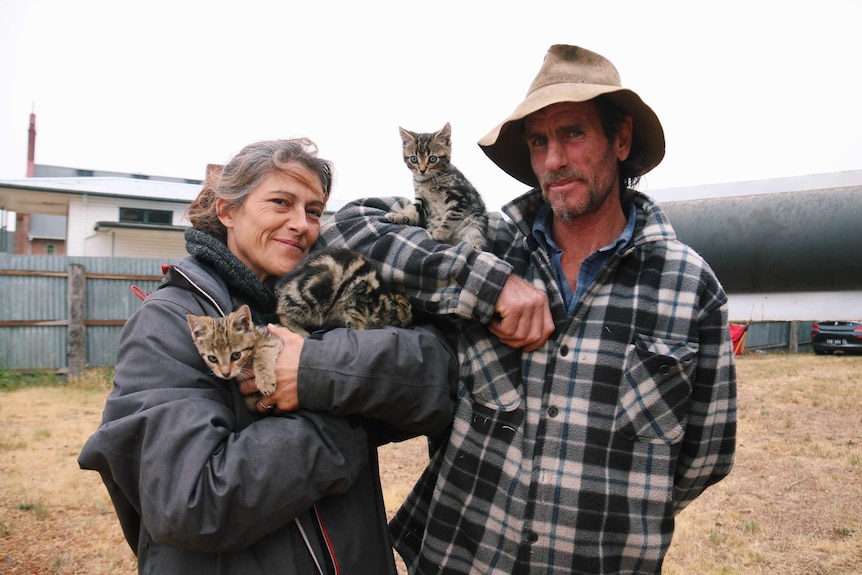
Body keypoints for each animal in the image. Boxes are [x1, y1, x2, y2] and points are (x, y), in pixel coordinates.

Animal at [388, 122, 490, 251]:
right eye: (414, 159)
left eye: (432, 159)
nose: (422, 170)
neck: (429, 181)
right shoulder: (422, 201)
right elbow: (412, 210)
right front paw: (399, 216)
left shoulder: (460, 197)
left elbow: (451, 215)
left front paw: (441, 232)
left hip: (475, 224)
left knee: (474, 242)